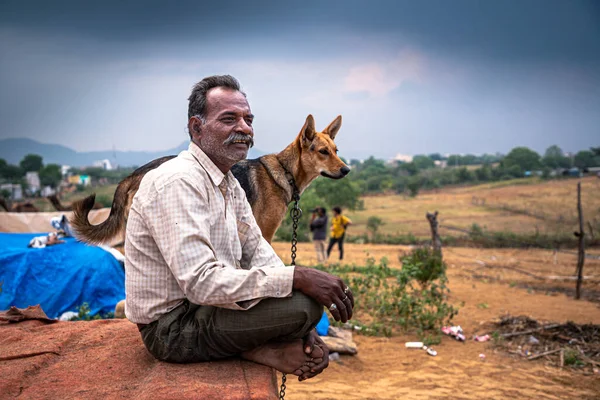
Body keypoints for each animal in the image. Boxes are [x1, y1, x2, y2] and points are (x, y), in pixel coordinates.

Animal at [71, 115, 350, 244]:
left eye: (336, 150)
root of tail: (135, 172)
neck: (284, 171)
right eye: (323, 152)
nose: (347, 170)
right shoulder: (265, 233)